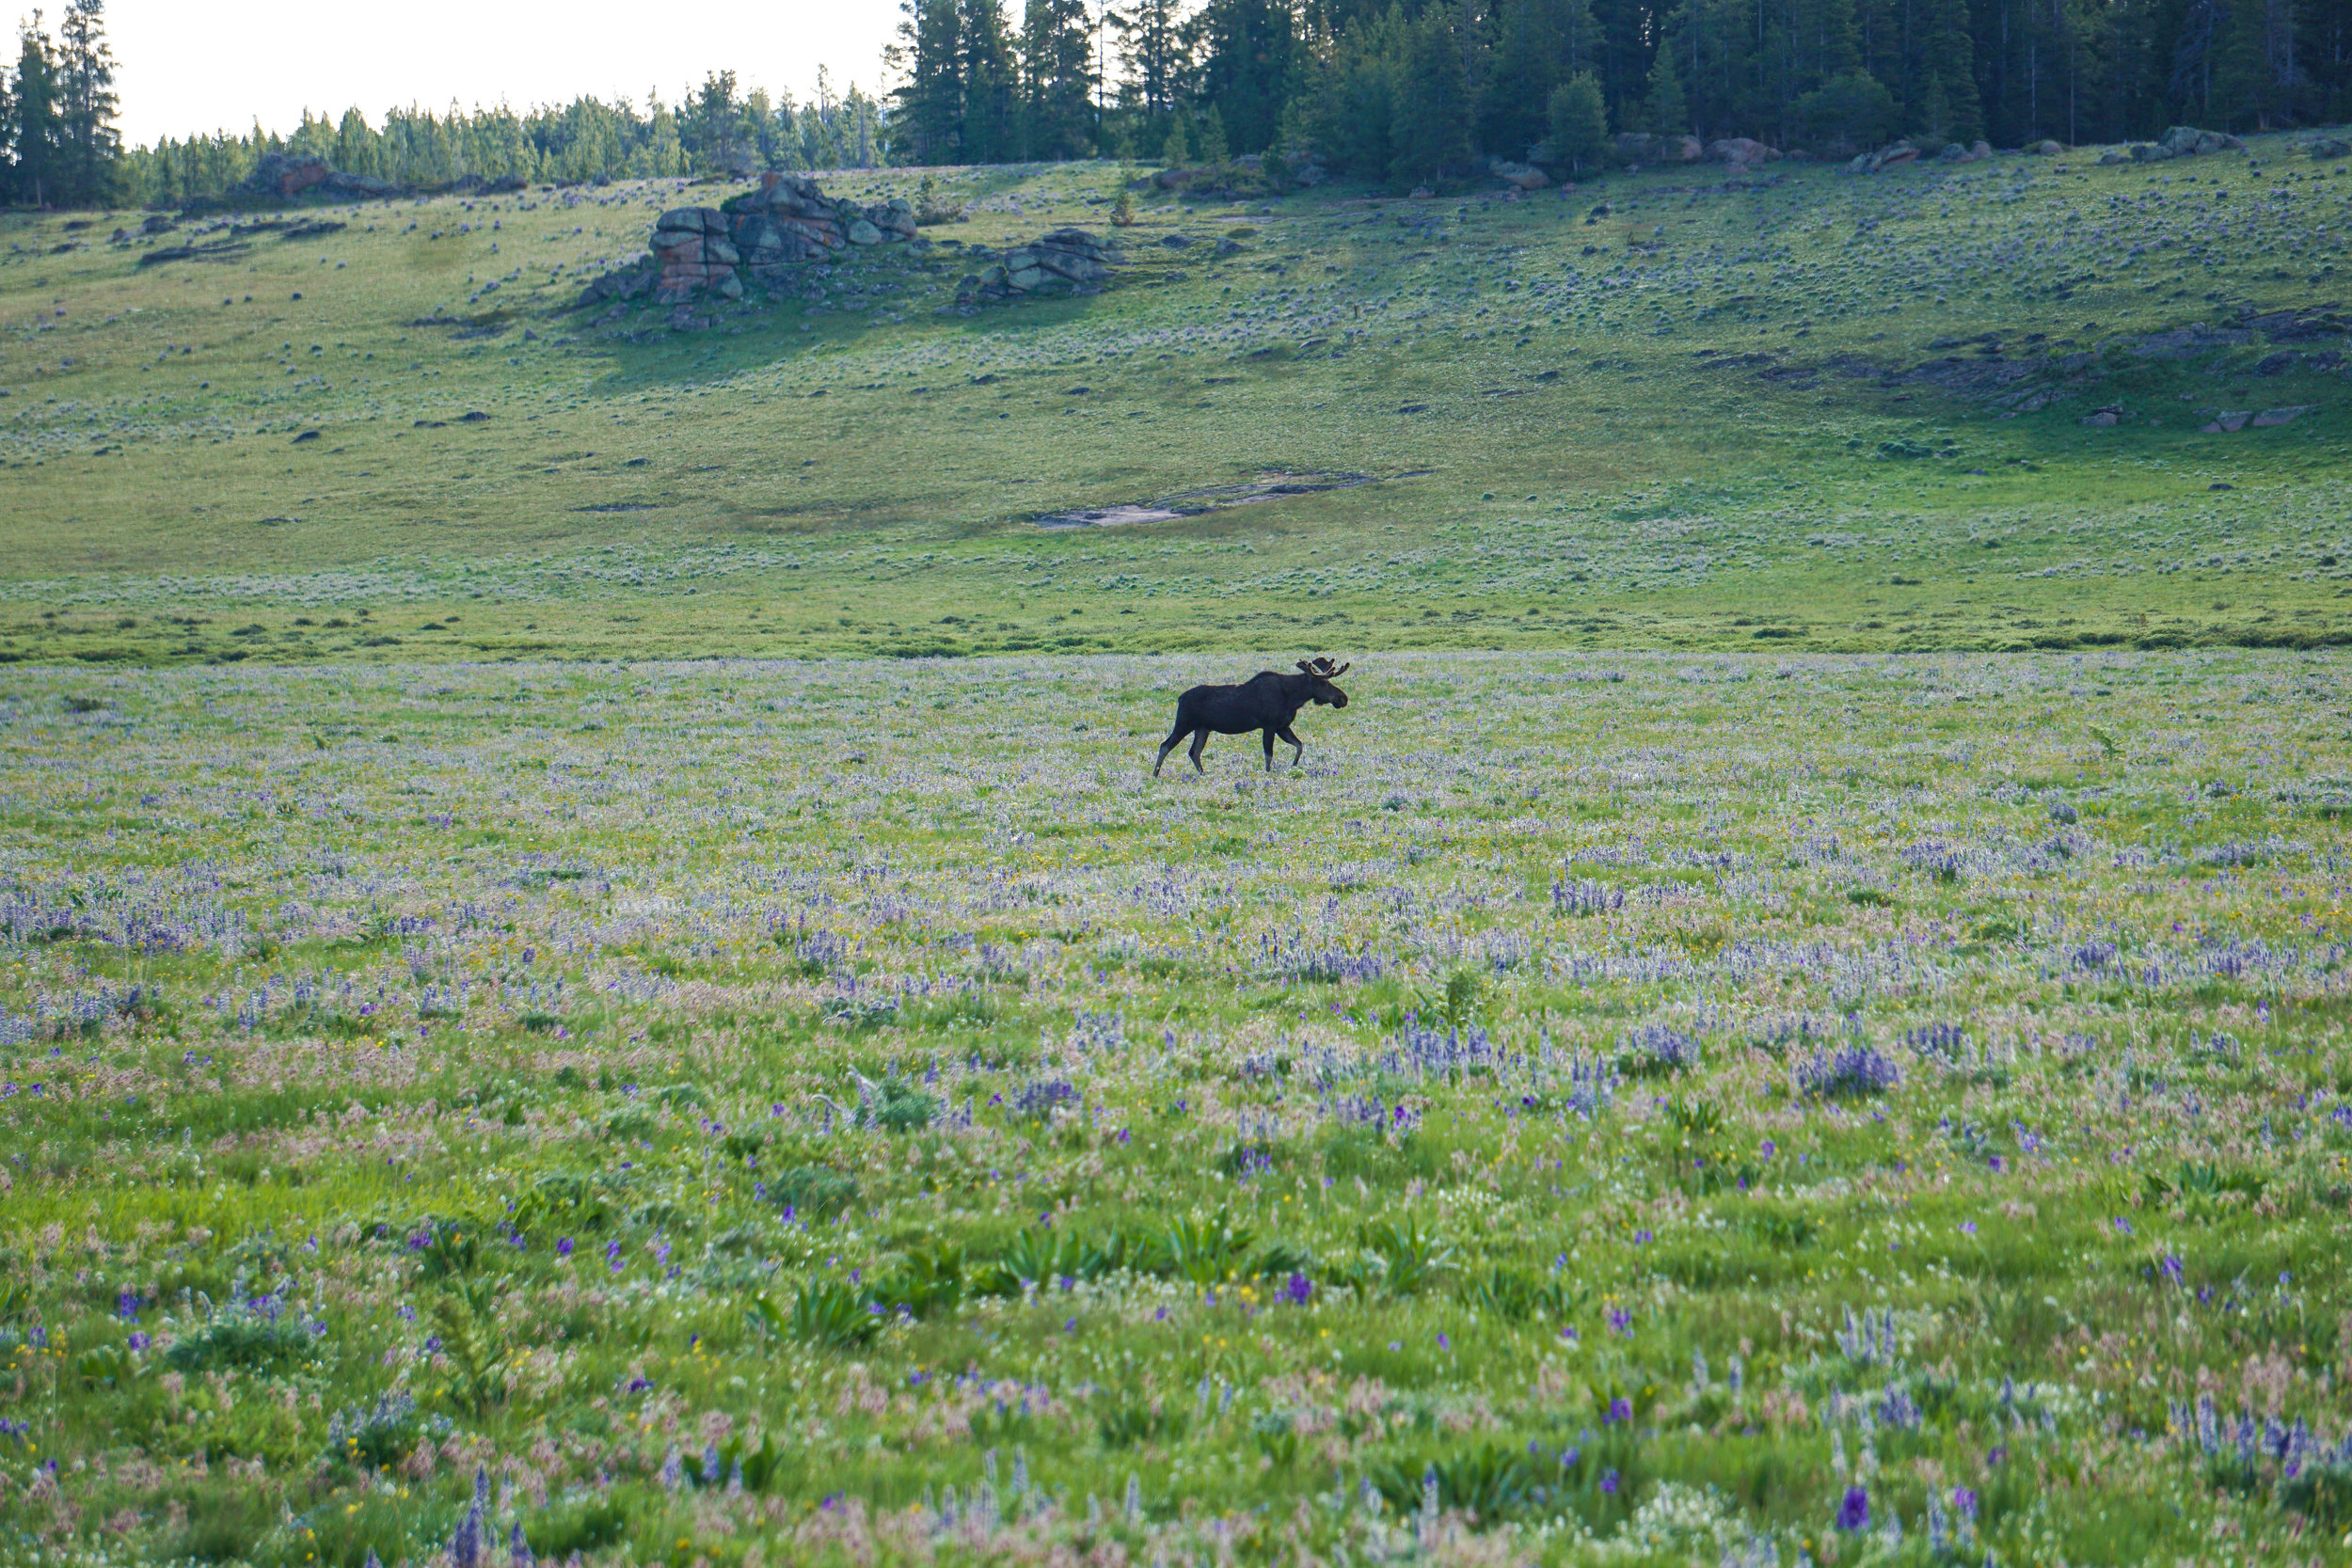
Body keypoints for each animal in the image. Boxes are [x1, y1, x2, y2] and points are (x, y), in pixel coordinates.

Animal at [1152, 653, 1355, 775]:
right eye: (1323, 683)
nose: (1343, 698)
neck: (1293, 697)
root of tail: (1179, 698)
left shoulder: (1283, 726)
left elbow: (1299, 745)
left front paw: (1293, 766)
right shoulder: (1270, 725)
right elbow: (1268, 754)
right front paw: (1268, 773)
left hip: (1202, 729)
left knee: (1194, 752)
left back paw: (1202, 774)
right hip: (1184, 723)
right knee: (1165, 745)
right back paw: (1155, 774)